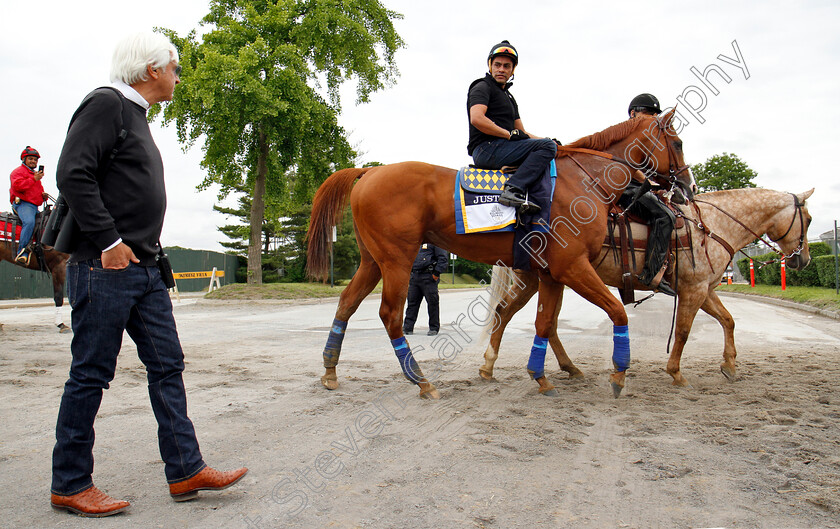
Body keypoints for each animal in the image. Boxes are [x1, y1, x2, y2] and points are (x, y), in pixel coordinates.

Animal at [306, 112, 692, 400]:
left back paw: (329, 369)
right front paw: (619, 373)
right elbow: (616, 313)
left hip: (373, 261)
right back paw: (421, 380)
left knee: (346, 303)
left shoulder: (550, 273)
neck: (584, 180)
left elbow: (544, 323)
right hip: (397, 261)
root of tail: (371, 170)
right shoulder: (573, 267)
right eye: (678, 142)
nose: (687, 188)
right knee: (389, 315)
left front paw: (540, 376)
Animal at [480, 188, 812, 386]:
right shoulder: (694, 290)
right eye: (807, 219)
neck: (710, 226)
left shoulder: (704, 290)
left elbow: (728, 320)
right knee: (512, 315)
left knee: (534, 321)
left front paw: (729, 365)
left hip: (545, 281)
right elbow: (683, 331)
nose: (804, 260)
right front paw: (676, 372)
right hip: (542, 279)